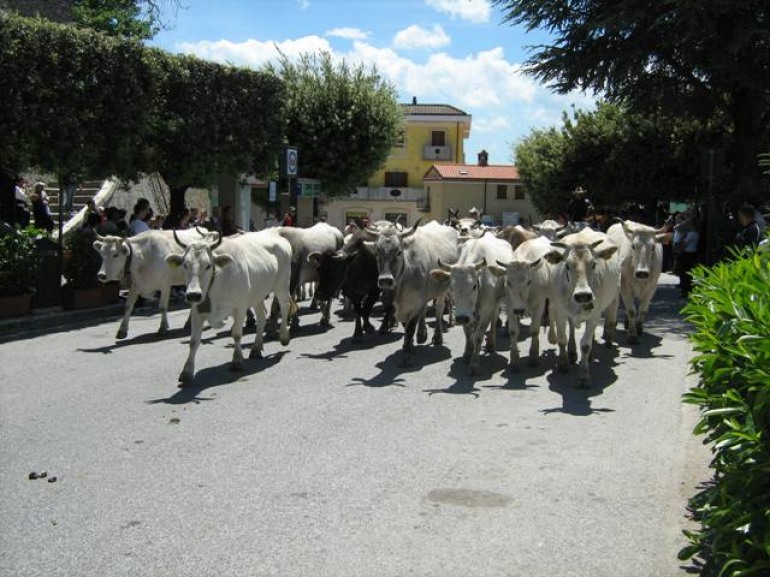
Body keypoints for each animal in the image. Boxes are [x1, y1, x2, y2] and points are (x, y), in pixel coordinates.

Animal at [166, 228, 296, 382]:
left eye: (208, 265)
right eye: (185, 265)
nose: (193, 294)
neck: (215, 281)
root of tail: (274, 232)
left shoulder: (239, 308)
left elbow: (237, 334)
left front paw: (237, 361)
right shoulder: (197, 311)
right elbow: (193, 341)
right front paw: (187, 371)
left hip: (282, 285)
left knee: (285, 306)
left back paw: (284, 336)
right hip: (257, 294)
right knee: (262, 316)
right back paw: (256, 348)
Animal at [432, 233, 510, 374]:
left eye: (474, 286)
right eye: (451, 287)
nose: (462, 318)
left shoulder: (486, 310)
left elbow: (478, 336)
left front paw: (474, 363)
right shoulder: (464, 314)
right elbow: (468, 333)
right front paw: (468, 352)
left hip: (496, 303)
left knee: (494, 319)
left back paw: (490, 344)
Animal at [488, 236, 556, 372]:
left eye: (529, 281)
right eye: (508, 282)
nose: (519, 310)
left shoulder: (539, 304)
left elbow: (534, 330)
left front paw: (534, 357)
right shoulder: (510, 305)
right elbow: (513, 331)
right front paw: (514, 360)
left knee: (551, 312)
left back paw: (552, 337)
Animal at [544, 227, 620, 384]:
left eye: (594, 264)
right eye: (566, 265)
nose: (583, 295)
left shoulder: (595, 314)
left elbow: (585, 345)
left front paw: (584, 376)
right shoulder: (560, 311)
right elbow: (562, 339)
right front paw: (563, 364)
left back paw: (589, 356)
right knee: (572, 328)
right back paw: (572, 353)